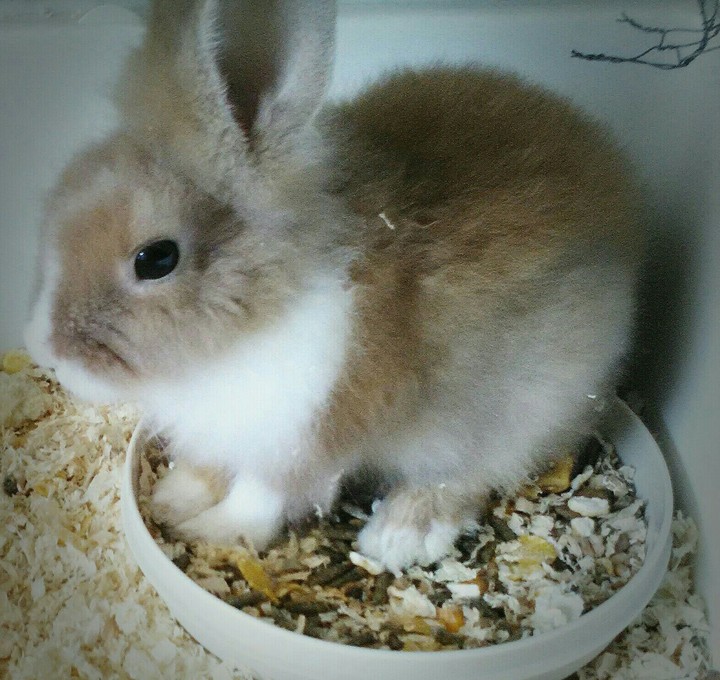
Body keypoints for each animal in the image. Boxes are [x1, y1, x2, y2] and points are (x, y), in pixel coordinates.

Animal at [24, 0, 644, 573]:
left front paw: (212, 532)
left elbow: (261, 497)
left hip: (517, 411)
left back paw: (399, 534)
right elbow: (211, 466)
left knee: (472, 474)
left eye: (156, 259)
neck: (245, 329)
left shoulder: (304, 437)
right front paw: (173, 498)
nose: (45, 352)